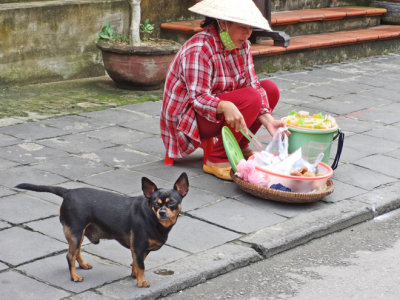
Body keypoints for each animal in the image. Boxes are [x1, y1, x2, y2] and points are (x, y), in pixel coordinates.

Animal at [16, 172, 189, 288]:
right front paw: (141, 281)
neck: (152, 218)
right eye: (155, 203)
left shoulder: (140, 250)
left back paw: (83, 265)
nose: (162, 212)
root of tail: (68, 192)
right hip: (75, 233)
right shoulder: (139, 247)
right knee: (70, 255)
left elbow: (136, 262)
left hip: (78, 234)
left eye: (171, 203)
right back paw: (74, 276)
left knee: (76, 251)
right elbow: (141, 265)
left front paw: (134, 275)